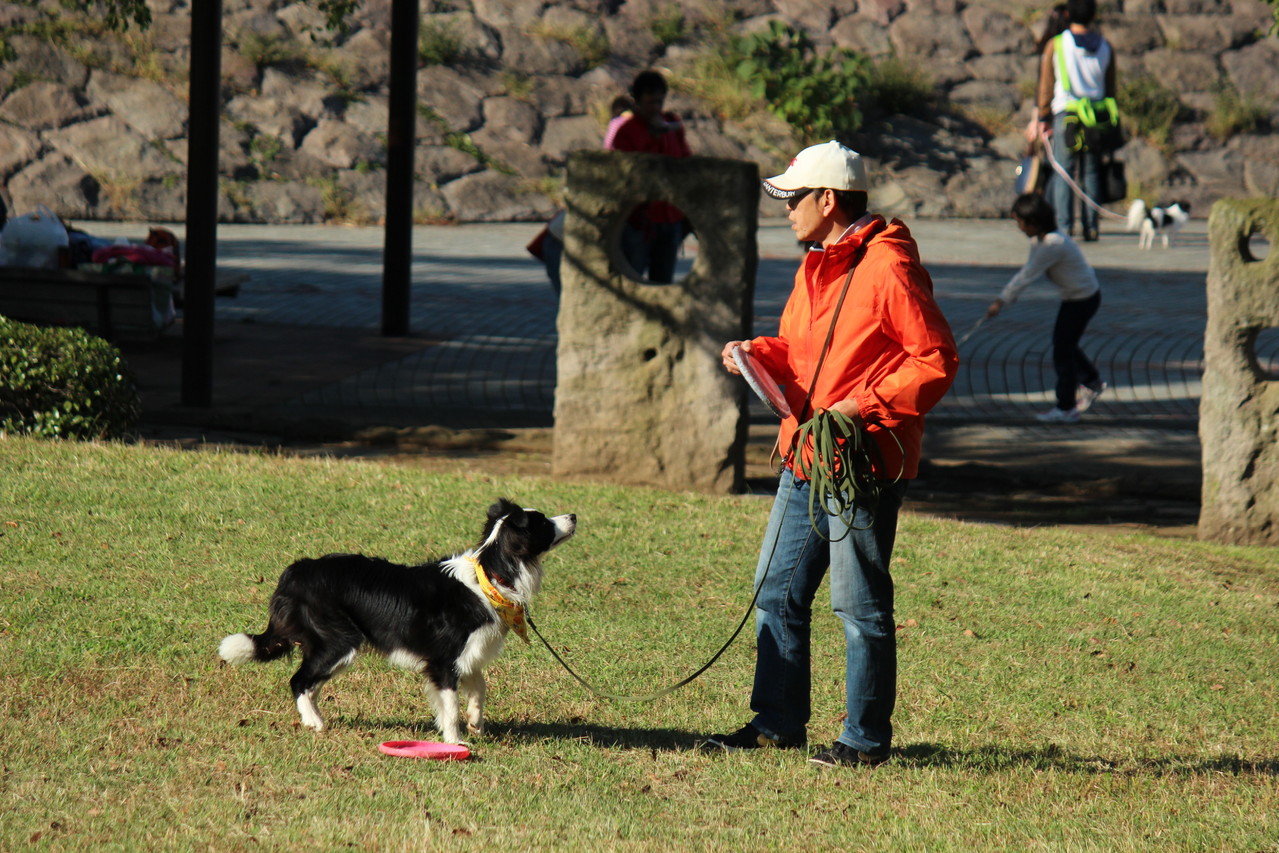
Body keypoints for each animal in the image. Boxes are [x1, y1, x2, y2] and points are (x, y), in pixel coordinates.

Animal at [217, 496, 578, 741]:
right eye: (543, 523)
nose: (573, 515)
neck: (490, 574)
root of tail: (295, 572)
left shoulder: (468, 654)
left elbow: (479, 688)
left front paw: (476, 723)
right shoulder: (443, 661)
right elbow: (451, 706)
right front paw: (456, 742)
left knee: (310, 682)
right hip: (339, 640)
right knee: (299, 680)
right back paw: (314, 723)